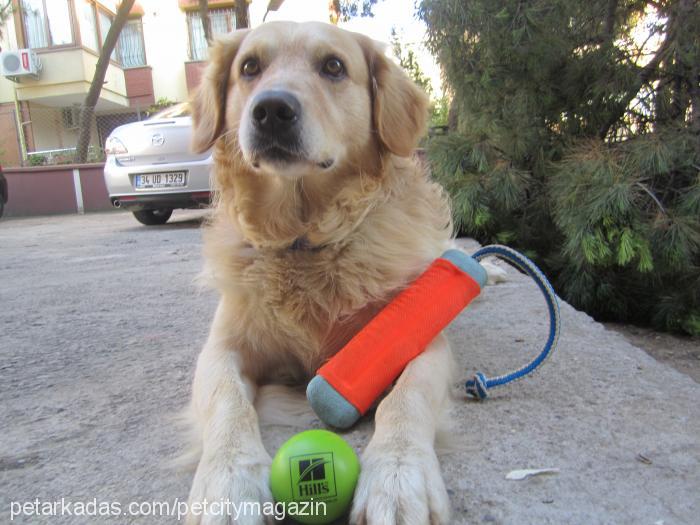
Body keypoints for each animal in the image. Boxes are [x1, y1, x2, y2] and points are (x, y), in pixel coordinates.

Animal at [183, 20, 500, 524]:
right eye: (249, 67)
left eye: (333, 66)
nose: (272, 110)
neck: (306, 241)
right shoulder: (221, 349)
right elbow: (228, 404)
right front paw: (227, 489)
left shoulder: (423, 340)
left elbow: (405, 398)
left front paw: (398, 478)